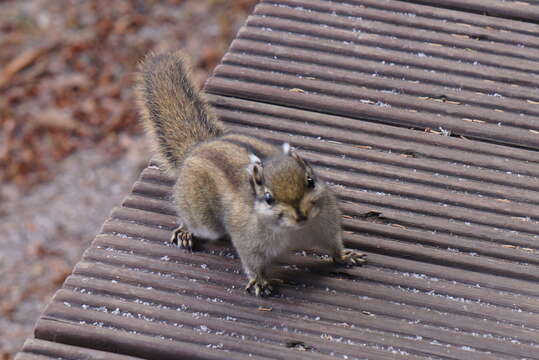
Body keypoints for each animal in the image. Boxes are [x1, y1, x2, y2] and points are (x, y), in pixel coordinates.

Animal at [136, 50, 368, 296]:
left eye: (310, 181)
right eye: (268, 198)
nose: (301, 215)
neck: (295, 231)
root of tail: (198, 147)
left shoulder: (326, 225)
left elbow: (334, 245)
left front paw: (346, 255)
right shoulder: (248, 239)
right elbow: (252, 263)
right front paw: (260, 281)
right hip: (202, 216)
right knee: (190, 220)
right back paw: (185, 232)